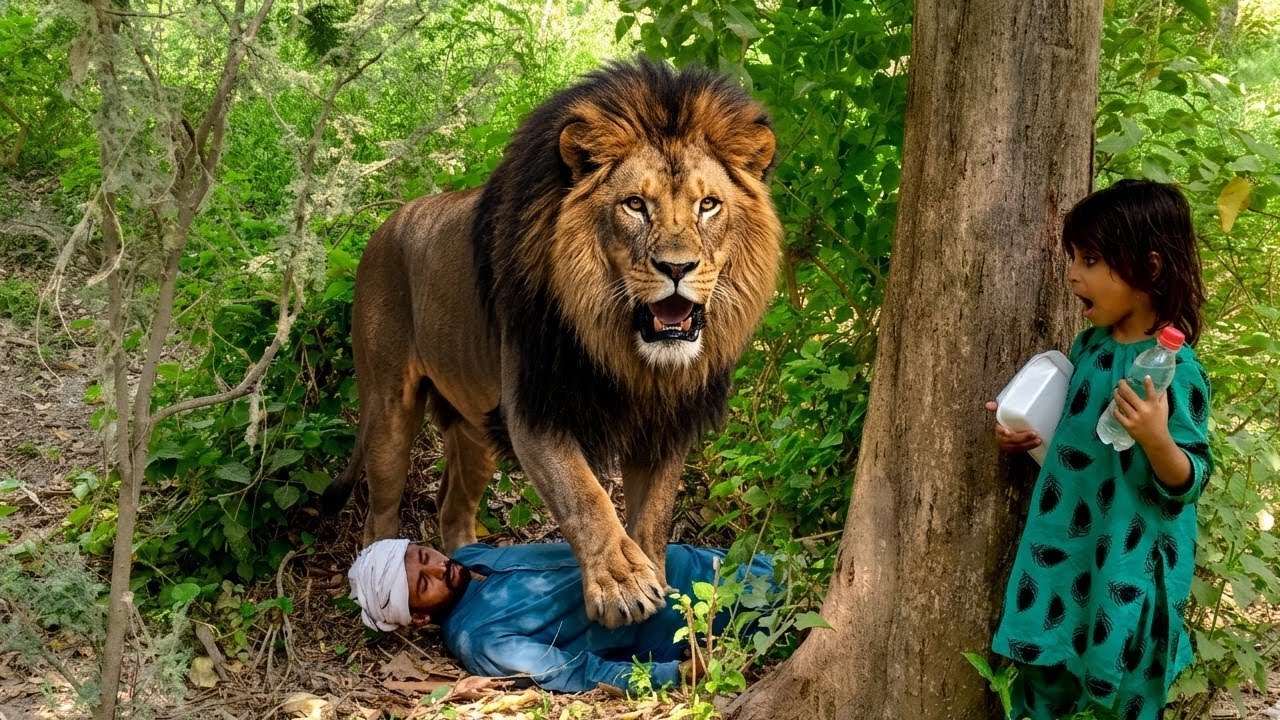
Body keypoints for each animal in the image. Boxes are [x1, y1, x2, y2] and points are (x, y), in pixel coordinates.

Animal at [321, 59, 781, 628]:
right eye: (635, 205)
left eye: (709, 205)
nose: (676, 268)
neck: (627, 354)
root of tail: (385, 225)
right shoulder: (535, 406)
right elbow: (583, 496)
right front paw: (622, 584)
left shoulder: (664, 424)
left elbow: (653, 516)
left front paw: (655, 581)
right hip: (388, 409)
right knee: (379, 515)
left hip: (476, 428)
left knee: (453, 505)